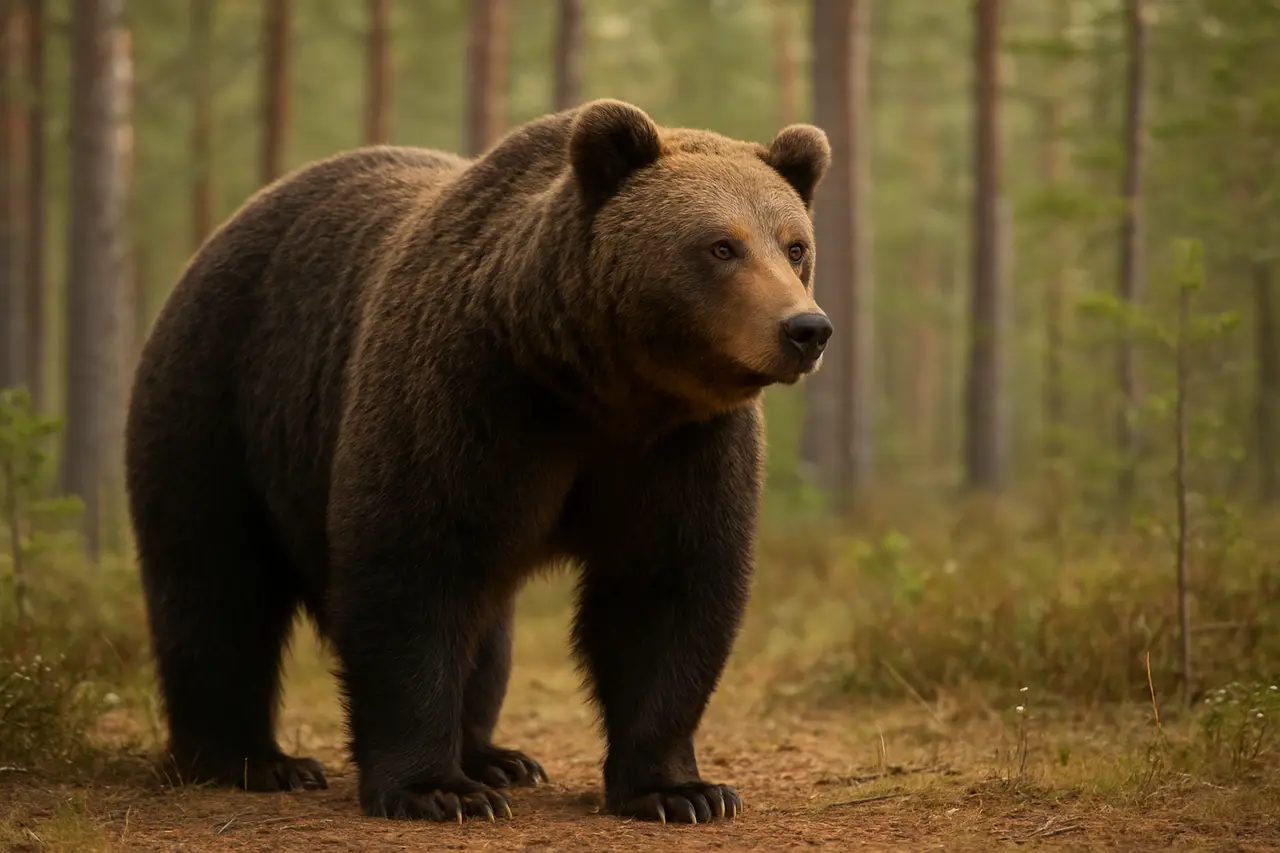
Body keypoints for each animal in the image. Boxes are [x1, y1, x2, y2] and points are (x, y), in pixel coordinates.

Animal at [123, 98, 832, 825]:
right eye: (721, 246)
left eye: (794, 244)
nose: (806, 329)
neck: (596, 383)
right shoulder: (466, 394)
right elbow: (411, 567)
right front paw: (435, 789)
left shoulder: (681, 444)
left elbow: (667, 588)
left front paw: (678, 790)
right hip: (221, 398)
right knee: (215, 583)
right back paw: (254, 760)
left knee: (488, 632)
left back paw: (497, 756)